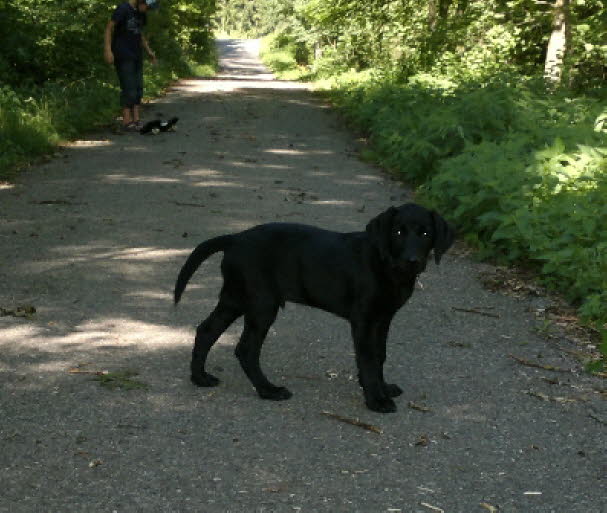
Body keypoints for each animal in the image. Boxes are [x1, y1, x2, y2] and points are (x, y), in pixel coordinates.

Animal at [173, 204, 454, 412]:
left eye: (425, 233)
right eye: (397, 232)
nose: (412, 261)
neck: (386, 266)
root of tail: (235, 238)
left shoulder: (384, 319)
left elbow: (380, 355)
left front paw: (382, 388)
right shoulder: (363, 320)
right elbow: (367, 358)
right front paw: (376, 399)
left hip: (235, 298)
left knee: (206, 331)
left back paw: (200, 378)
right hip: (262, 305)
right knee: (246, 349)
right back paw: (268, 390)